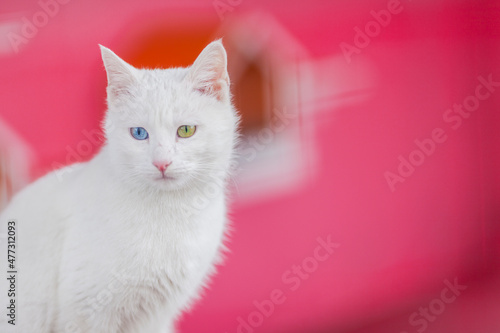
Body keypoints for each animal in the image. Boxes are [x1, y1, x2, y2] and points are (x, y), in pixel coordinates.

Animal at [0, 40, 238, 330]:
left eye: (185, 131)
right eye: (139, 133)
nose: (161, 163)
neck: (170, 214)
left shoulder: (156, 316)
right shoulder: (86, 311)